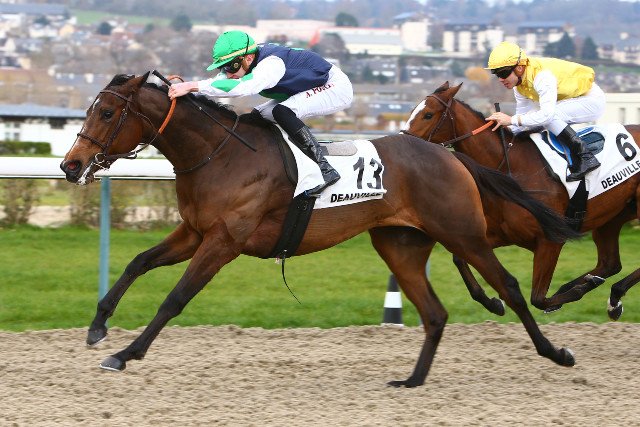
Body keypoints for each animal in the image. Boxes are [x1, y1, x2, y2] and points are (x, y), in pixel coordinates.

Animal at [60, 72, 577, 388]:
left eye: (107, 113)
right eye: (90, 110)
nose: (71, 165)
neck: (219, 155)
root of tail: (450, 155)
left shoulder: (223, 242)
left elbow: (174, 299)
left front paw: (126, 353)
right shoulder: (194, 233)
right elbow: (138, 262)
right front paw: (98, 326)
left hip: (463, 233)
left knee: (509, 287)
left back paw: (556, 354)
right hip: (401, 245)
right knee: (435, 313)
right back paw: (412, 380)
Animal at [403, 81, 640, 320]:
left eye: (428, 114)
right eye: (413, 110)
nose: (404, 142)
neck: (513, 169)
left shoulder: (551, 240)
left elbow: (539, 299)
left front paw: (577, 291)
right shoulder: (502, 234)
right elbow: (459, 259)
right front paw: (494, 303)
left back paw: (610, 291)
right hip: (613, 216)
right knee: (610, 263)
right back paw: (608, 295)